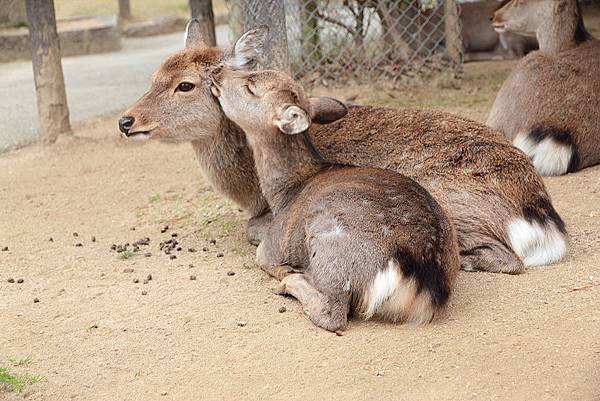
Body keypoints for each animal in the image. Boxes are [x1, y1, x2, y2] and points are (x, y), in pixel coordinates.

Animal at [118, 21, 568, 276]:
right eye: (154, 75)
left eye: (186, 85)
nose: (126, 121)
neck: (250, 185)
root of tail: (540, 213)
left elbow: (253, 230)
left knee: (509, 259)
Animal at [209, 68, 462, 332]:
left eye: (251, 87)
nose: (217, 71)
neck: (283, 194)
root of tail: (424, 283)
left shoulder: (273, 245)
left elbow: (261, 253)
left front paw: (285, 270)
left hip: (329, 238)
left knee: (334, 313)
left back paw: (292, 280)